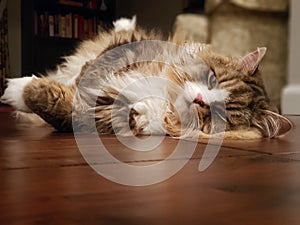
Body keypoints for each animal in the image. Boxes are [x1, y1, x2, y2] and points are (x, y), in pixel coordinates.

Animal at [0, 16, 290, 139]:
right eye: (212, 81)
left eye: (220, 114)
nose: (199, 99)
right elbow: (91, 71)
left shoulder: (106, 115)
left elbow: (60, 107)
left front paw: (16, 91)